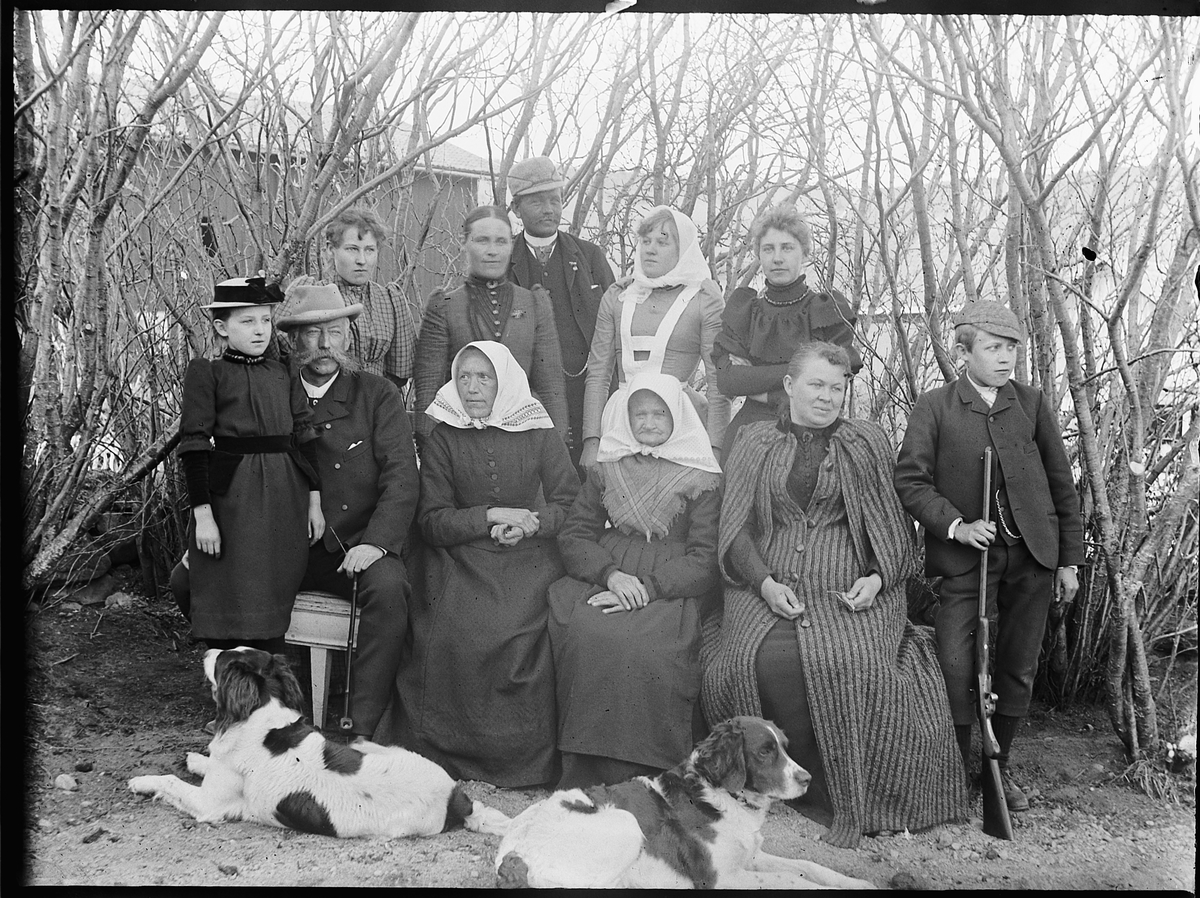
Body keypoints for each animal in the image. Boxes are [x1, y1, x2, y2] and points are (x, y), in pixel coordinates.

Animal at [127, 648, 511, 840]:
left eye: (221, 658)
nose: (206, 649)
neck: (263, 721)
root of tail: (457, 800)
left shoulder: (209, 804)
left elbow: (170, 782)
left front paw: (141, 781)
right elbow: (205, 763)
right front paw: (196, 759)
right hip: (379, 748)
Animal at [492, 715, 878, 893]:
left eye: (784, 746)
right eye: (765, 751)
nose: (808, 778)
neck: (724, 797)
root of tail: (510, 857)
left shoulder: (748, 856)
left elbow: (805, 865)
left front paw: (858, 883)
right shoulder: (722, 878)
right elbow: (789, 879)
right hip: (625, 823)